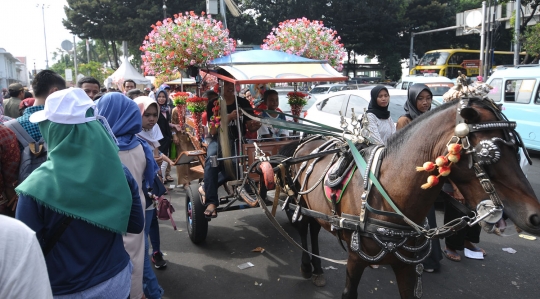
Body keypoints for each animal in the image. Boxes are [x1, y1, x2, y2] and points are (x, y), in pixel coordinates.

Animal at [282, 97, 540, 298]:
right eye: (489, 153)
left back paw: (317, 269)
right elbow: (349, 292)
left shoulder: (406, 266)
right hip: (300, 204)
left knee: (314, 228)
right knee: (304, 228)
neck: (384, 194)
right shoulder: (355, 260)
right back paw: (308, 267)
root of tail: (304, 141)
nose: (535, 216)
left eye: (517, 148)